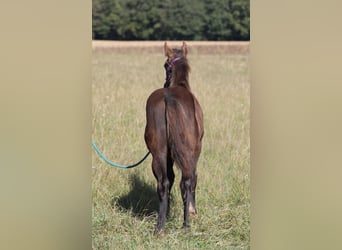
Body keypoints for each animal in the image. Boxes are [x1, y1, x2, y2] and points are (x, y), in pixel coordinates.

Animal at [144, 42, 203, 233]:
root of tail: (168, 98)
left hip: (159, 153)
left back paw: (161, 227)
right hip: (188, 152)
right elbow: (192, 180)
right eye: (166, 65)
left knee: (163, 183)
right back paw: (186, 224)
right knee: (187, 181)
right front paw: (192, 211)